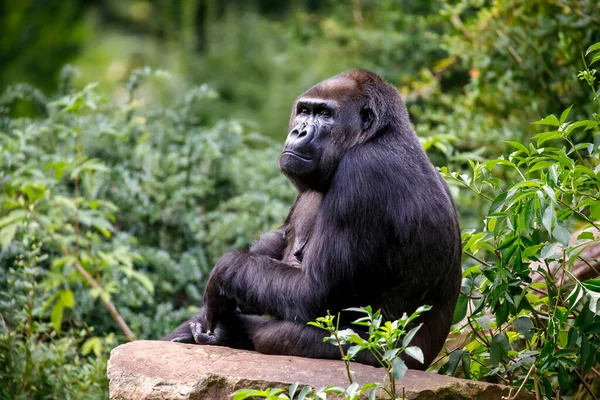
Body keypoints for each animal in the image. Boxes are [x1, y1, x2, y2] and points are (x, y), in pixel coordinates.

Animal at [162, 69, 462, 372]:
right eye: (305, 111)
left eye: (325, 114)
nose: (299, 131)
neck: (379, 135)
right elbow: (278, 239)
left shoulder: (364, 171)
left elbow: (316, 293)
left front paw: (224, 272)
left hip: (387, 357)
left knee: (277, 335)